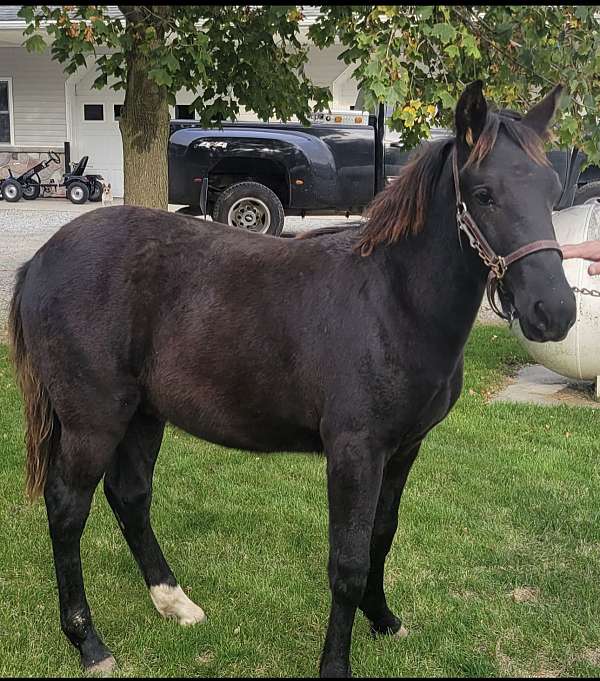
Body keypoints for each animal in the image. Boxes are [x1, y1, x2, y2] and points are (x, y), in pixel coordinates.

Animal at [8, 82, 572, 676]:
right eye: (484, 194)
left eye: (553, 191)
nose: (554, 312)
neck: (393, 299)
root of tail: (39, 262)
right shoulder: (354, 451)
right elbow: (347, 562)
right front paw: (336, 664)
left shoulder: (403, 449)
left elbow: (381, 536)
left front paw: (384, 620)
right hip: (92, 421)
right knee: (67, 510)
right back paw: (89, 643)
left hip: (143, 414)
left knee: (131, 497)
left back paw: (174, 603)